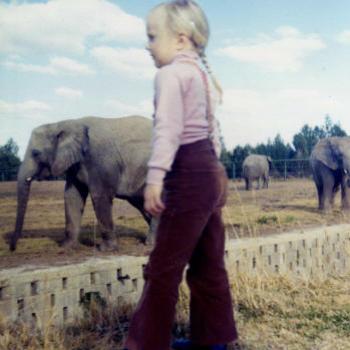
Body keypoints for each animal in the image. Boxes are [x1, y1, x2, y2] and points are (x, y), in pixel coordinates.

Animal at [9, 116, 154, 253]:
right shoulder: (74, 163)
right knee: (140, 202)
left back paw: (149, 243)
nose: (13, 248)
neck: (63, 124)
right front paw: (66, 247)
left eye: (36, 153)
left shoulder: (100, 160)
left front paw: (105, 250)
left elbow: (100, 195)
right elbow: (72, 196)